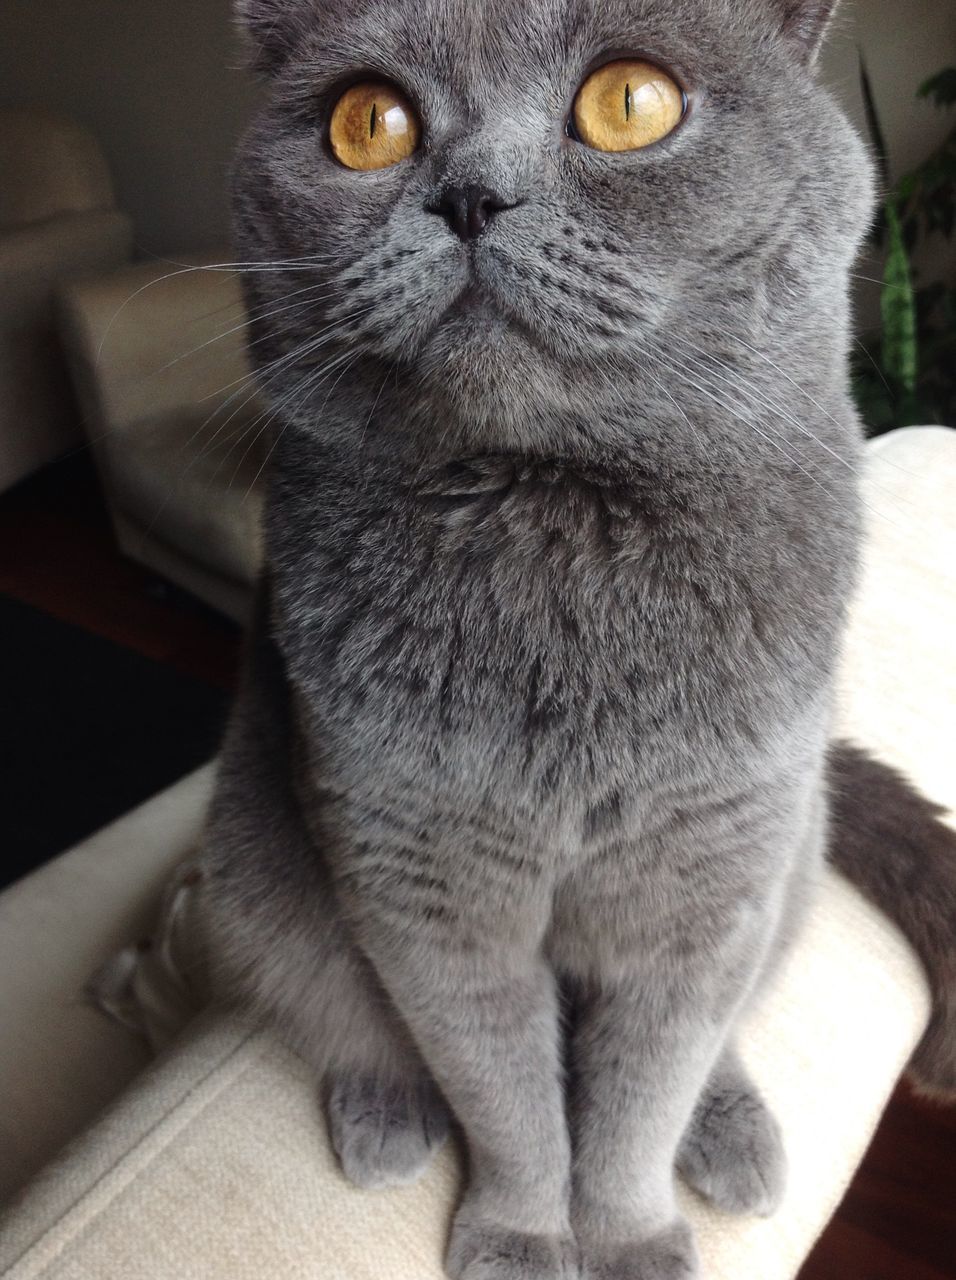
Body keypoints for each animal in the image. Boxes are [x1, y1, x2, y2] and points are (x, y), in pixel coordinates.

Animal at [198, 2, 952, 1280]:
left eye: (630, 103)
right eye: (367, 121)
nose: (467, 194)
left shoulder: (706, 880)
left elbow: (639, 1091)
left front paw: (630, 1239)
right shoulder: (420, 876)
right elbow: (503, 1089)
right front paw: (518, 1233)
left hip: (787, 845)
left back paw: (731, 1130)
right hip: (252, 848)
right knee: (337, 1002)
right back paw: (385, 1111)